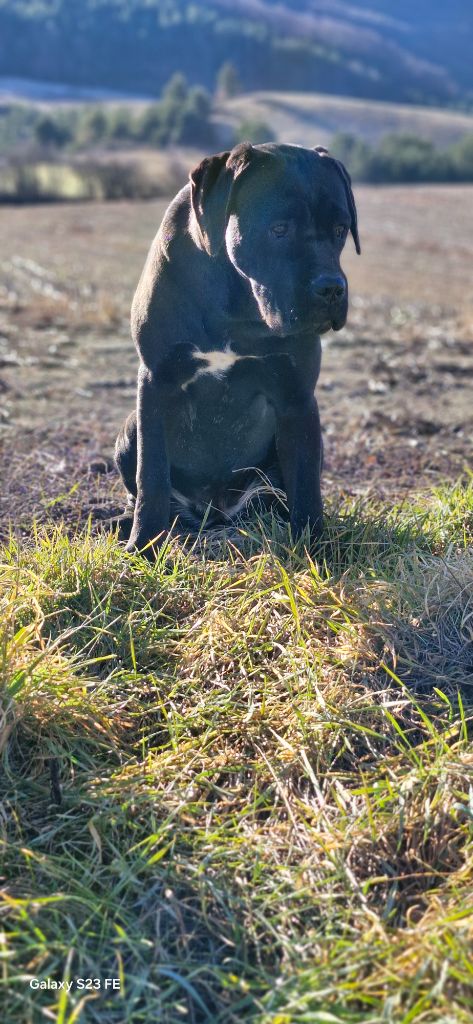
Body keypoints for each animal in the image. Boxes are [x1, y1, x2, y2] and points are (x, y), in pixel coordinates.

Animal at [115, 144, 358, 552]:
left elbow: (306, 484)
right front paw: (143, 547)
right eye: (279, 229)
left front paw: (314, 549)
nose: (331, 287)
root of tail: (213, 512)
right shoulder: (155, 383)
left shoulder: (297, 397)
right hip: (129, 430)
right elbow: (152, 476)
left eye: (341, 230)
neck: (235, 297)